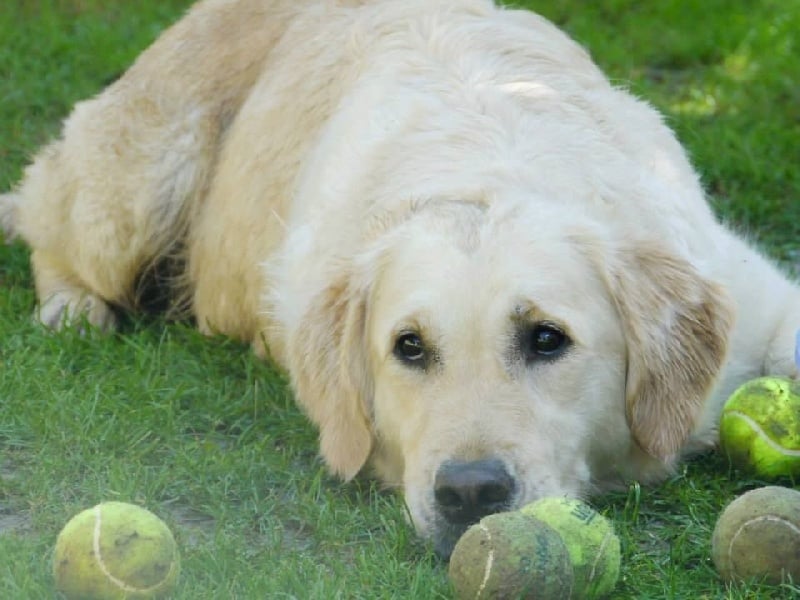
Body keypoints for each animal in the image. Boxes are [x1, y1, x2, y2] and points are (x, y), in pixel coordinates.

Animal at [1, 0, 800, 556]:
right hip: (138, 186)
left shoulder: (751, 293)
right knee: (46, 211)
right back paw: (74, 308)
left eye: (547, 339)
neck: (488, 170)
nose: (470, 492)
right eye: (409, 348)